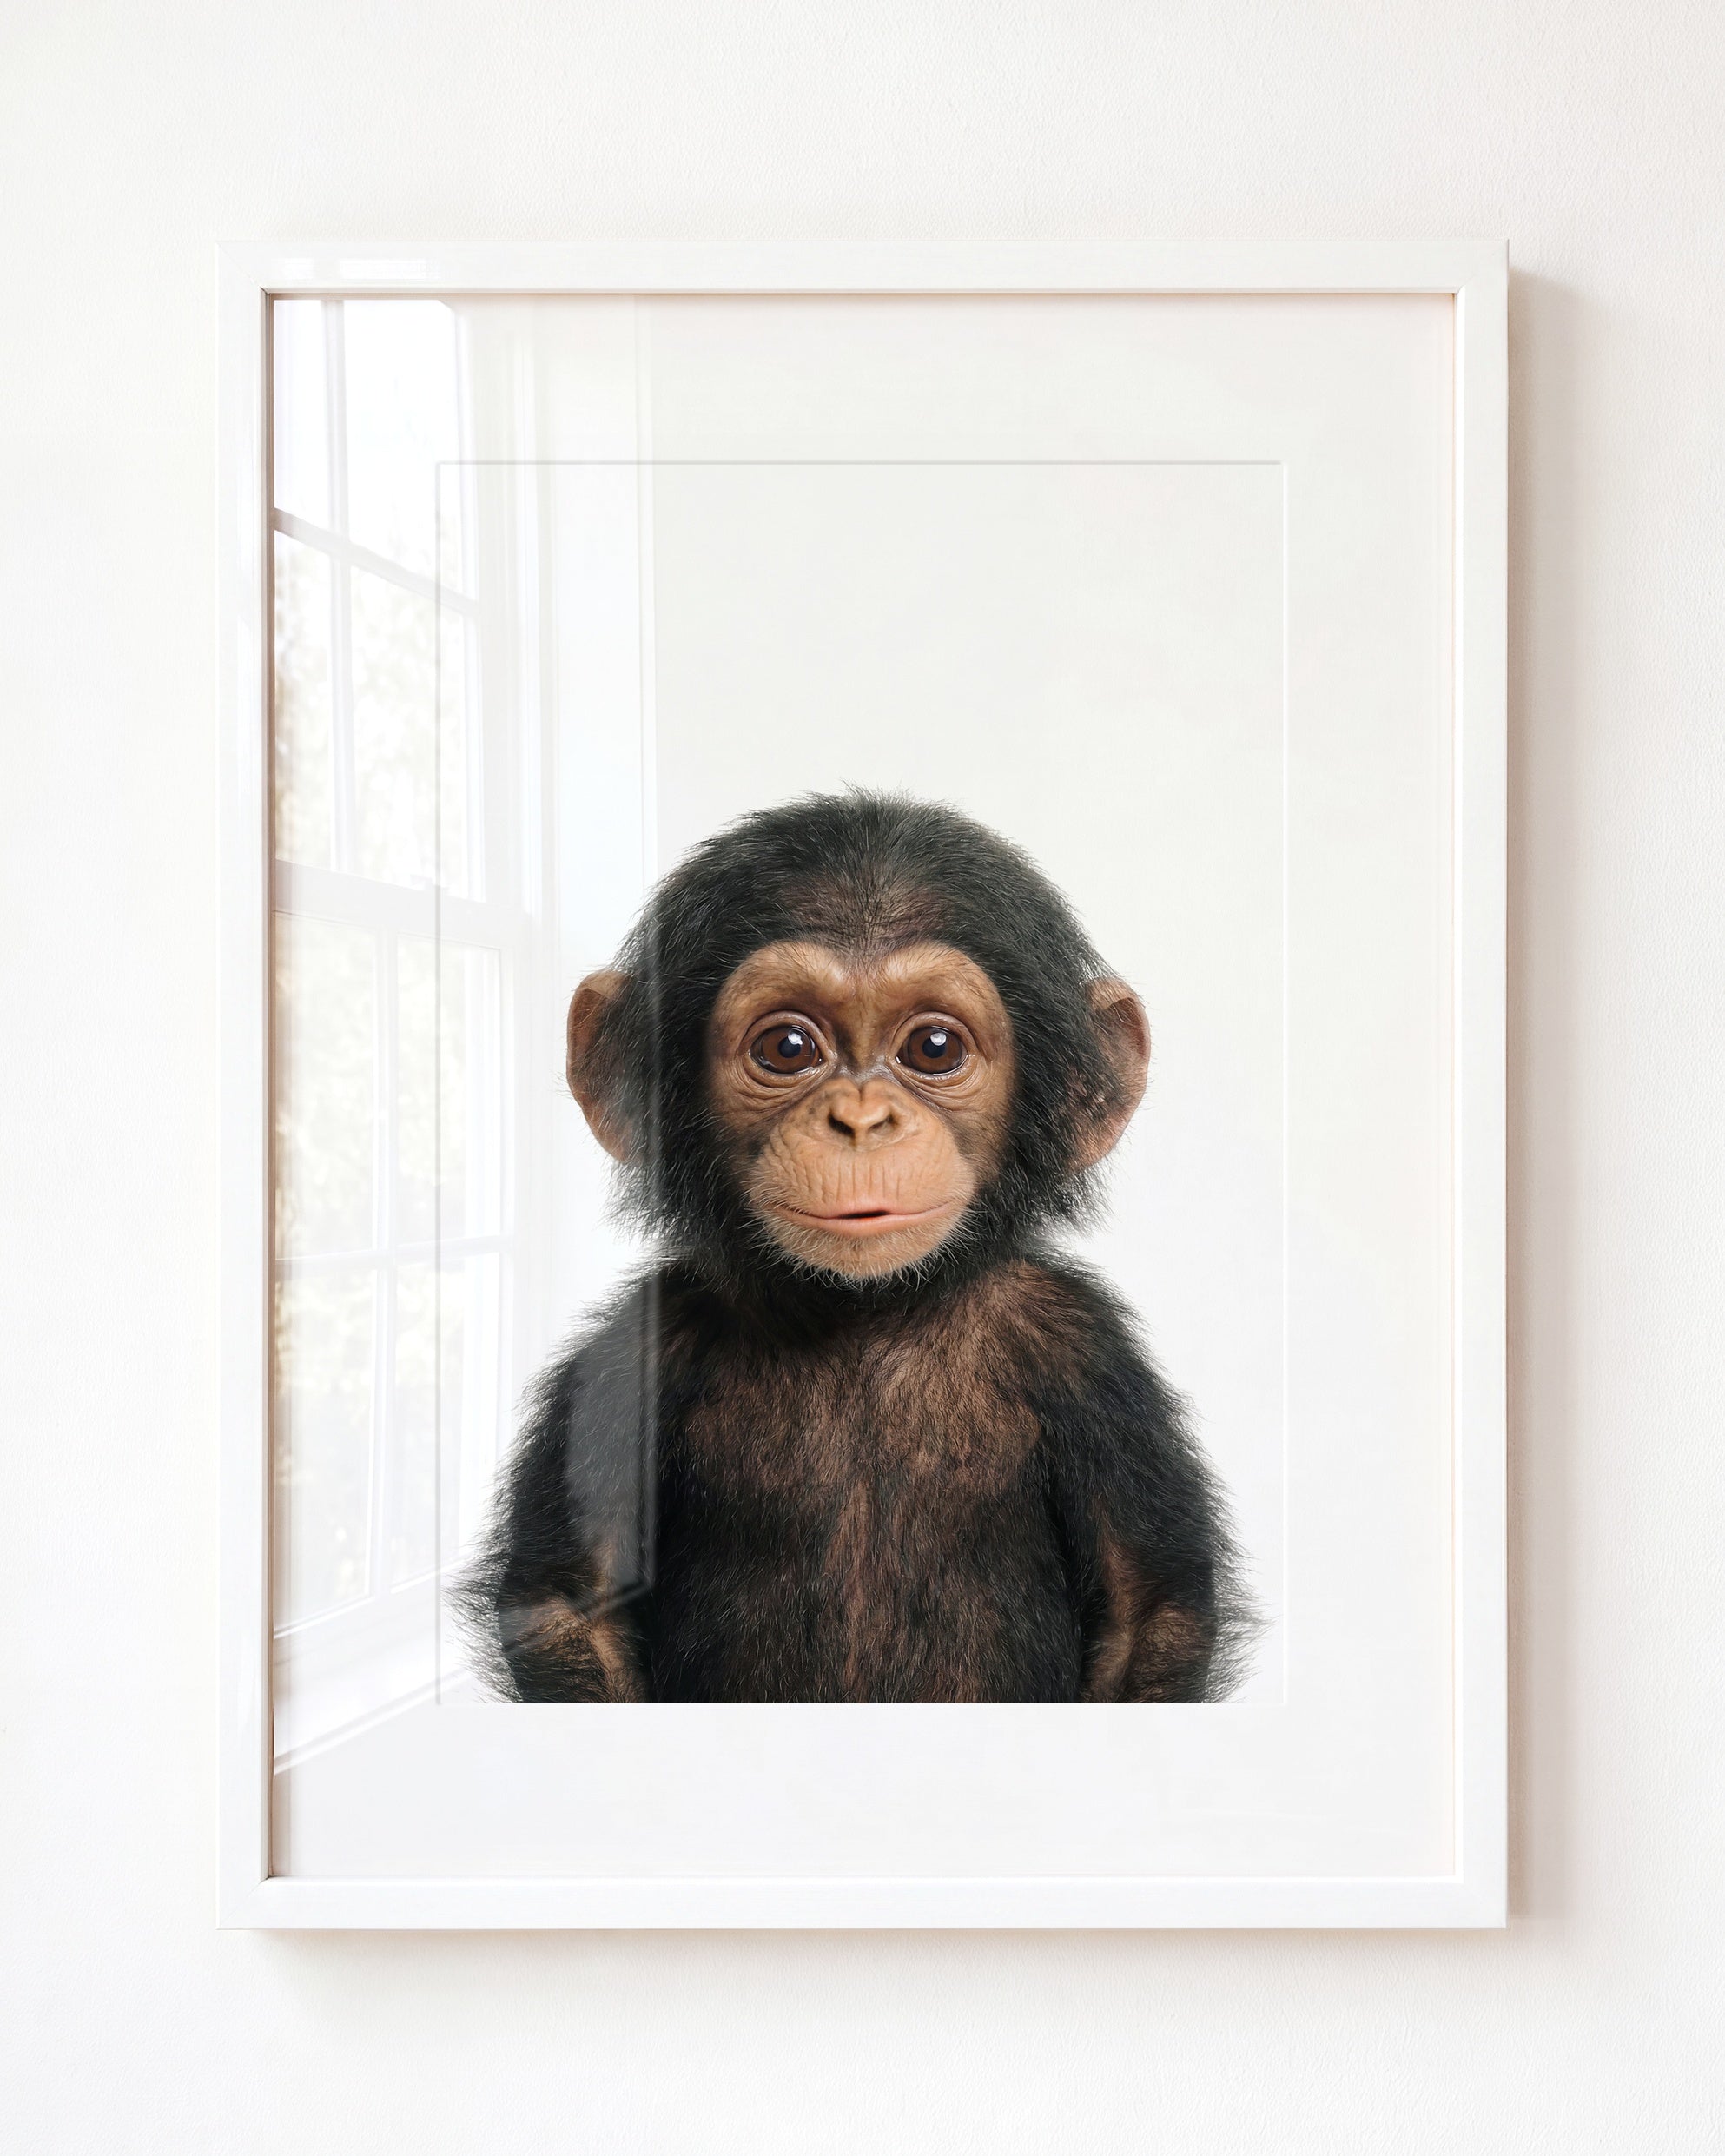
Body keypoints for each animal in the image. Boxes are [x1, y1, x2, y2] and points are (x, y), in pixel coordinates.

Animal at [457, 792, 1256, 1703]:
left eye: (934, 1048)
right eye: (787, 1047)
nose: (862, 1120)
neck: (865, 1313)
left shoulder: (1086, 1353)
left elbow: (1147, 1611)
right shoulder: (634, 1352)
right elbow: (570, 1605)